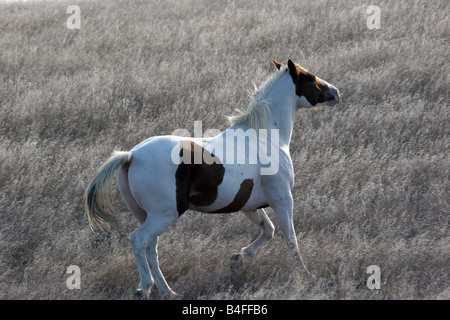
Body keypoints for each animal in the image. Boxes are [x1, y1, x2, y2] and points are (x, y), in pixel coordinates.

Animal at [84, 58, 340, 298]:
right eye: (309, 77)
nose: (336, 92)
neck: (266, 137)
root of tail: (132, 156)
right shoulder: (283, 199)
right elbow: (290, 238)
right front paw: (305, 274)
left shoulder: (249, 205)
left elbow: (268, 230)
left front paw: (238, 259)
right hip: (164, 215)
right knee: (138, 240)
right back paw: (144, 288)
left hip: (146, 215)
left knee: (151, 248)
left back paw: (168, 291)